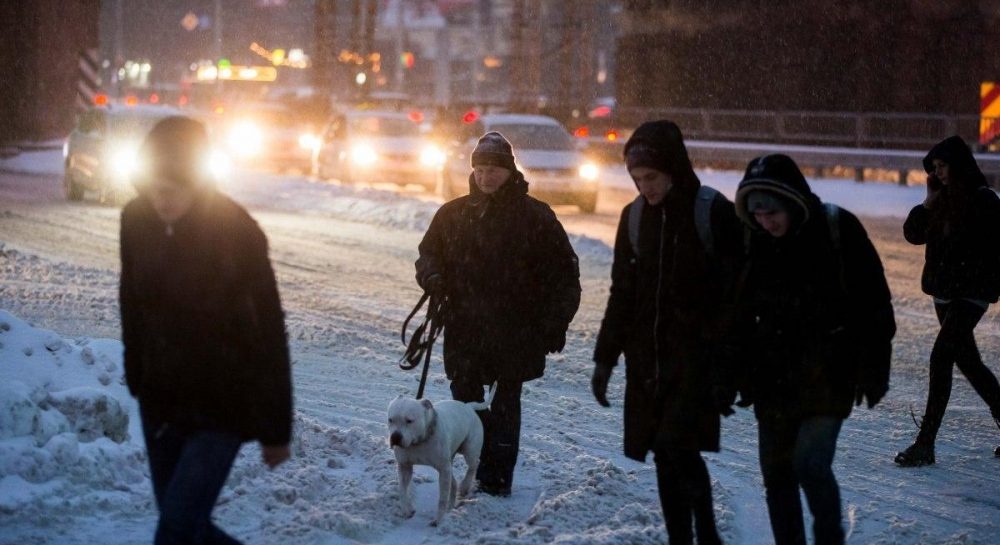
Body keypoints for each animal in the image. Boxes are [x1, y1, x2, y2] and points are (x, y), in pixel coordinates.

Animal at [390, 380, 500, 524]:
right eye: (390, 420)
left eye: (409, 421)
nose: (395, 437)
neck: (420, 440)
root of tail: (468, 407)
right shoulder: (405, 466)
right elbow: (402, 490)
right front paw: (406, 510)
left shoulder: (443, 469)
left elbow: (442, 498)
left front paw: (439, 520)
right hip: (449, 463)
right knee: (454, 483)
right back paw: (451, 506)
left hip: (469, 450)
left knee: (474, 464)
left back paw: (465, 486)